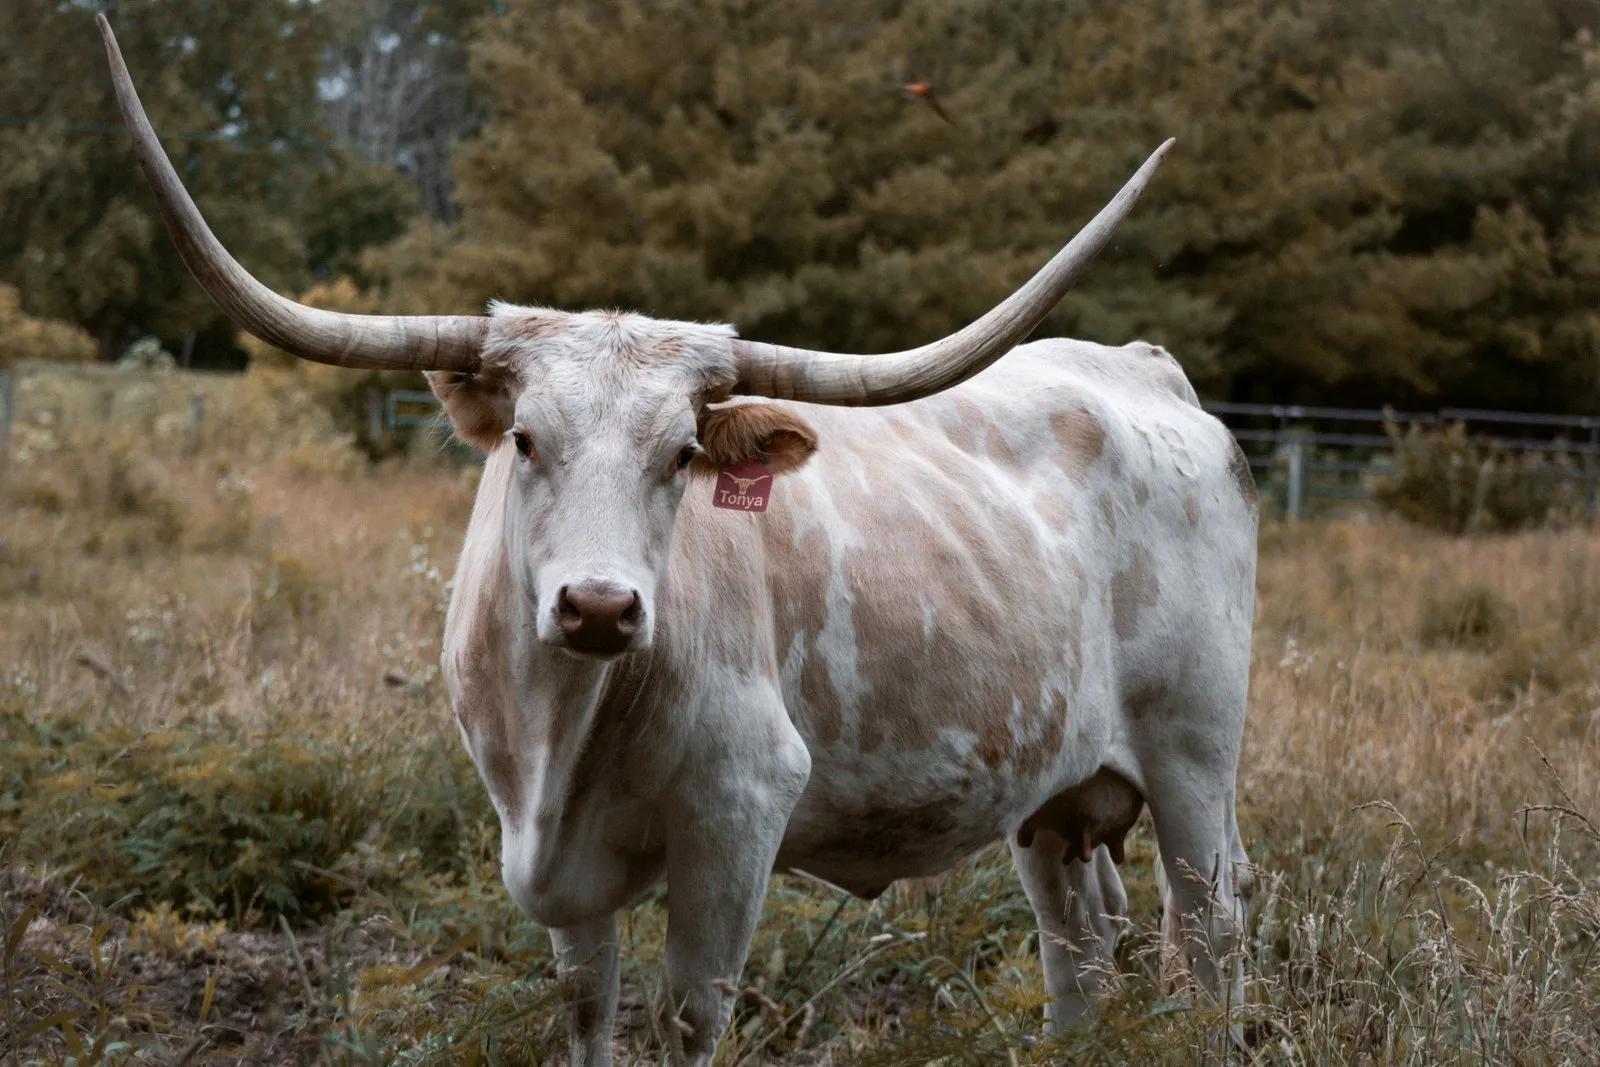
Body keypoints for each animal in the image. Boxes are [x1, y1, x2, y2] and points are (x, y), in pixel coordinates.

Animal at [98, 15, 1257, 1064]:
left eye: (683, 453)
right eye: (525, 438)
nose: (600, 606)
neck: (562, 739)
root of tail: (1144, 367)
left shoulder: (739, 811)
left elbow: (692, 1012)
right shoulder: (551, 857)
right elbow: (585, 1007)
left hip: (1195, 752)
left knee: (1211, 926)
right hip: (1054, 788)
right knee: (1082, 933)